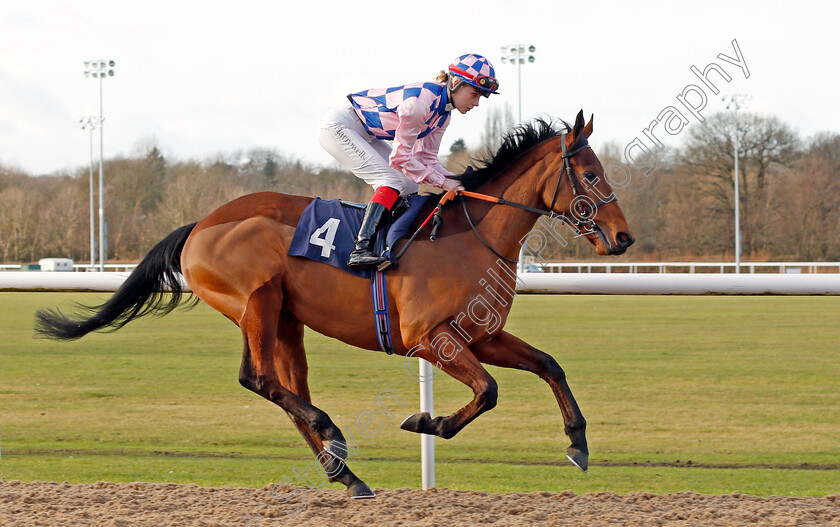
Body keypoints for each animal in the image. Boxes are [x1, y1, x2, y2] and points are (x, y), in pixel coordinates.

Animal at [36, 111, 632, 500]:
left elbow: (548, 365)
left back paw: (345, 472)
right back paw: (334, 434)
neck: (469, 236)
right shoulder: (430, 339)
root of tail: (201, 225)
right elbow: (488, 390)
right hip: (257, 301)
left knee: (284, 388)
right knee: (258, 379)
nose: (622, 237)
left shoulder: (479, 335)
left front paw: (578, 444)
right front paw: (427, 421)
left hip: (284, 319)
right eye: (590, 173)